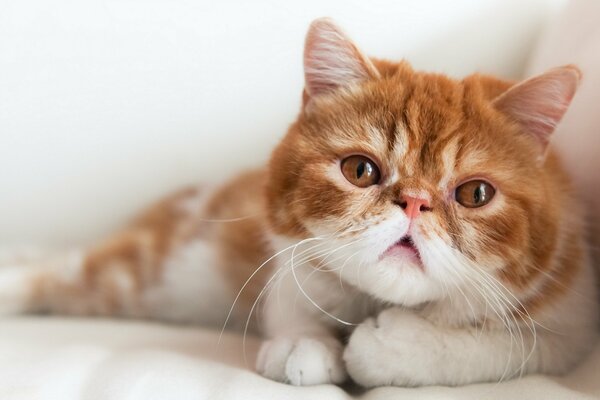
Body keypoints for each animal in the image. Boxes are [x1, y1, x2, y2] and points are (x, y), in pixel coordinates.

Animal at [0, 18, 596, 388]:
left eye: (475, 193)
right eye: (360, 170)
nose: (413, 203)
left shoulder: (568, 321)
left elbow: (502, 348)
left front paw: (393, 347)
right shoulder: (283, 256)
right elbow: (294, 296)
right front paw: (303, 344)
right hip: (155, 273)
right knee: (58, 270)